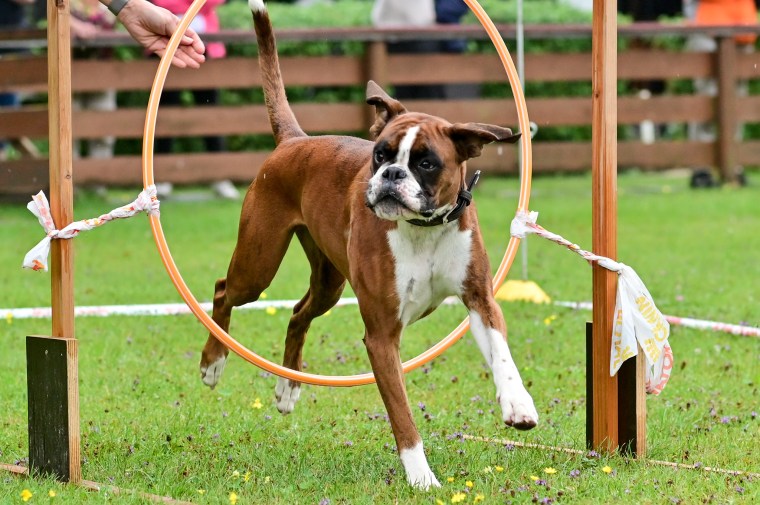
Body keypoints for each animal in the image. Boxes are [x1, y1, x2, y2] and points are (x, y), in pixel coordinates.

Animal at [199, 0, 539, 489]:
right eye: (380, 153)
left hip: (328, 283)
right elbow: (402, 415)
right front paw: (421, 478)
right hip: (258, 265)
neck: (423, 227)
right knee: (225, 291)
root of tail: (295, 140)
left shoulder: (479, 298)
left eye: (426, 163)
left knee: (298, 314)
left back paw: (288, 387)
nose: (390, 176)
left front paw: (518, 405)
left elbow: (502, 354)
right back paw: (213, 363)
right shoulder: (382, 336)